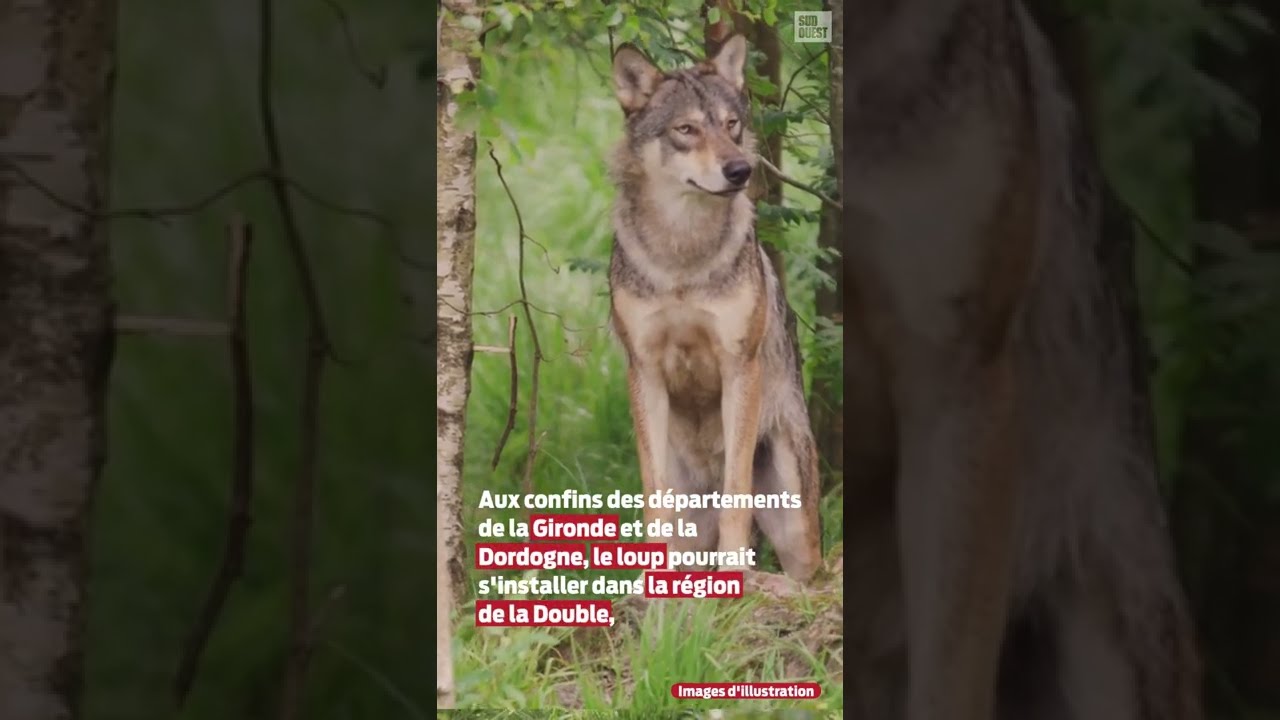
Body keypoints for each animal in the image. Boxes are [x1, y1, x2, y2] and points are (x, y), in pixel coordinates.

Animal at [606, 35, 822, 583]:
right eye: (686, 129)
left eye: (731, 125)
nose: (739, 170)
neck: (683, 256)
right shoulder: (644, 370)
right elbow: (653, 496)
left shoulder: (737, 365)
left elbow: (735, 496)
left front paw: (733, 573)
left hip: (796, 529)